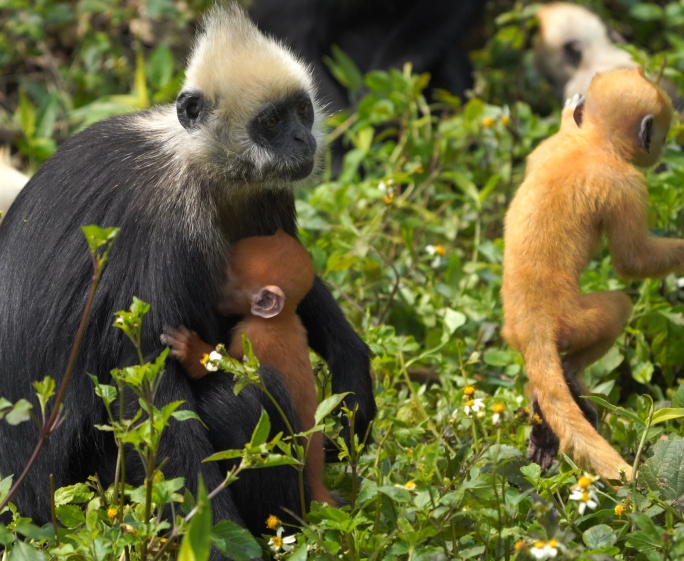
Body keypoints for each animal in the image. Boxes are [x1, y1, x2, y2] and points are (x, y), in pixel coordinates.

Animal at [0, 3, 376, 540]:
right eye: (272, 121)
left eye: (302, 112)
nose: (304, 140)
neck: (201, 167)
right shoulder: (167, 233)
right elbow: (152, 392)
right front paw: (216, 540)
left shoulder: (263, 196)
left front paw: (353, 375)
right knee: (233, 401)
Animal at [502, 66, 680, 476]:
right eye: (661, 135)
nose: (660, 148)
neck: (595, 143)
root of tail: (531, 325)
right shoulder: (628, 185)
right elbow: (631, 260)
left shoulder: (546, 150)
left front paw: (569, 115)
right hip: (574, 321)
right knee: (618, 308)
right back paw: (570, 372)